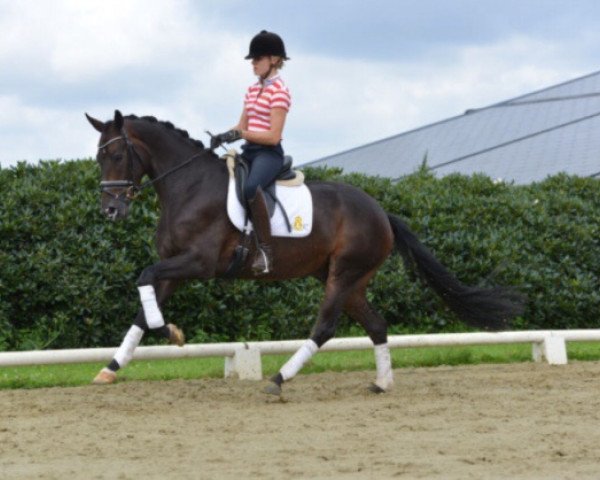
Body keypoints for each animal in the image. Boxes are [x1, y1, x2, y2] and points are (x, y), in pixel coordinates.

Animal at [85, 110, 524, 396]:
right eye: (98, 156)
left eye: (118, 155)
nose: (110, 211)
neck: (187, 187)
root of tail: (381, 212)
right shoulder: (175, 269)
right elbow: (143, 311)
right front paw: (111, 369)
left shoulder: (199, 263)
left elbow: (144, 279)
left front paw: (172, 334)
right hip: (347, 280)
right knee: (376, 325)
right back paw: (381, 383)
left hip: (343, 276)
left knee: (325, 327)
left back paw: (279, 379)